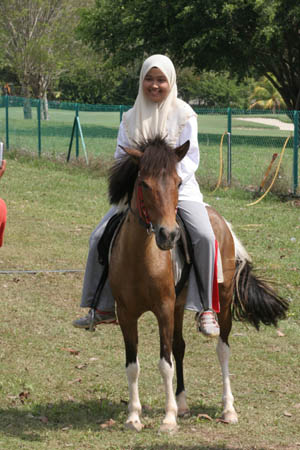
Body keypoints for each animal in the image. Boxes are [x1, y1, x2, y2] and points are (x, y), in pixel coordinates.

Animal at [108, 135, 288, 430]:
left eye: (178, 182)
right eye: (144, 183)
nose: (169, 235)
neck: (141, 258)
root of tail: (218, 218)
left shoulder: (163, 309)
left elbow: (164, 363)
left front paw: (168, 419)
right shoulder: (126, 313)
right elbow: (133, 365)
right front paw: (134, 416)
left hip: (221, 302)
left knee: (223, 349)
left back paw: (228, 409)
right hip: (179, 305)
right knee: (180, 346)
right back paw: (182, 403)